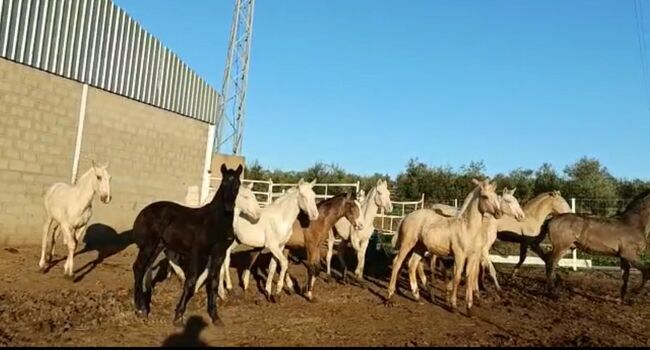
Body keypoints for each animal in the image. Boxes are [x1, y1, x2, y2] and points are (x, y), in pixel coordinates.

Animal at [130, 163, 242, 326]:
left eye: (238, 184)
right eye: (224, 183)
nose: (228, 207)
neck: (216, 221)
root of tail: (143, 212)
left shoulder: (219, 254)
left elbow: (214, 282)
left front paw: (215, 316)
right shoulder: (198, 252)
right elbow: (190, 281)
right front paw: (178, 316)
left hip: (158, 246)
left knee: (144, 269)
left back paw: (143, 308)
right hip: (148, 246)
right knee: (138, 268)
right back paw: (139, 309)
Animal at [384, 179, 502, 316]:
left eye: (496, 196)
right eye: (485, 196)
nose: (499, 214)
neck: (468, 228)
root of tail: (406, 216)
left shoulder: (473, 256)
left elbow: (469, 277)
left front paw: (469, 309)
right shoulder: (459, 254)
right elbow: (457, 276)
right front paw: (453, 305)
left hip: (420, 248)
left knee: (412, 265)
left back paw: (417, 297)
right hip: (407, 244)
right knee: (397, 263)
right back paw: (390, 296)